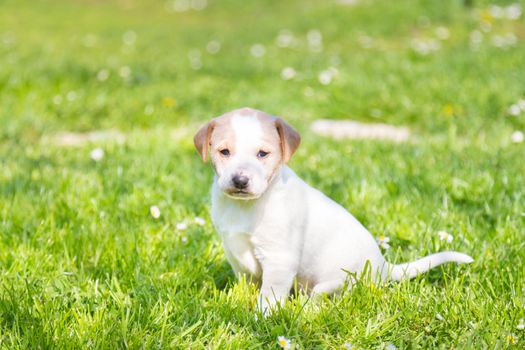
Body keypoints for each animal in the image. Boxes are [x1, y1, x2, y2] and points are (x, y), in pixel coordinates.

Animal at [192, 107, 470, 314]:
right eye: (224, 152)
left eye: (262, 154)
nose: (240, 180)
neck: (246, 206)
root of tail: (384, 267)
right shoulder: (236, 253)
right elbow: (247, 283)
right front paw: (239, 301)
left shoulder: (279, 259)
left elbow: (270, 294)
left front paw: (263, 317)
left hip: (336, 281)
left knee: (323, 297)